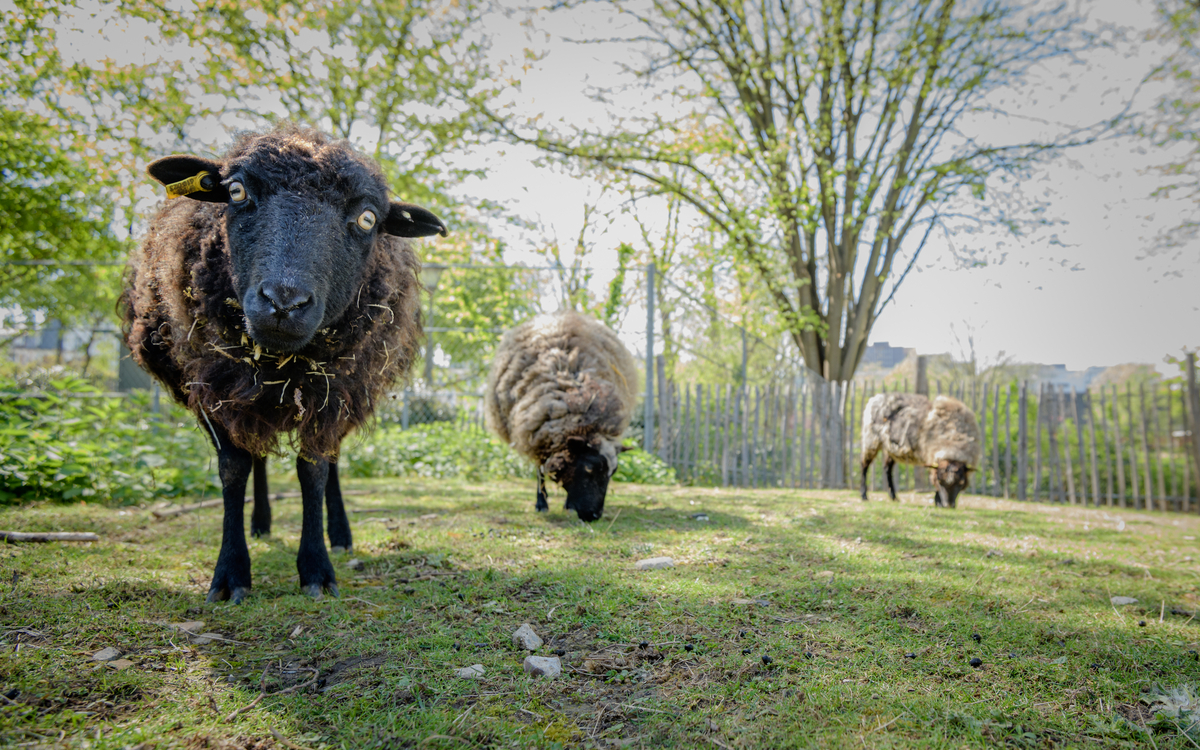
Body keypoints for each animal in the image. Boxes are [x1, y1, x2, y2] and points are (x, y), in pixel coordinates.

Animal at [119, 124, 448, 602]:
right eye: (236, 191)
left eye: (367, 219)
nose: (284, 302)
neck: (279, 360)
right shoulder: (212, 386)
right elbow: (233, 469)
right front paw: (230, 574)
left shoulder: (332, 393)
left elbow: (314, 471)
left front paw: (316, 568)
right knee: (255, 453)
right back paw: (261, 523)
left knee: (331, 460)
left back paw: (340, 533)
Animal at [484, 309, 643, 520]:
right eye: (589, 468)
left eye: (613, 472)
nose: (594, 516)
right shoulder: (536, 430)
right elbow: (540, 470)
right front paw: (541, 504)